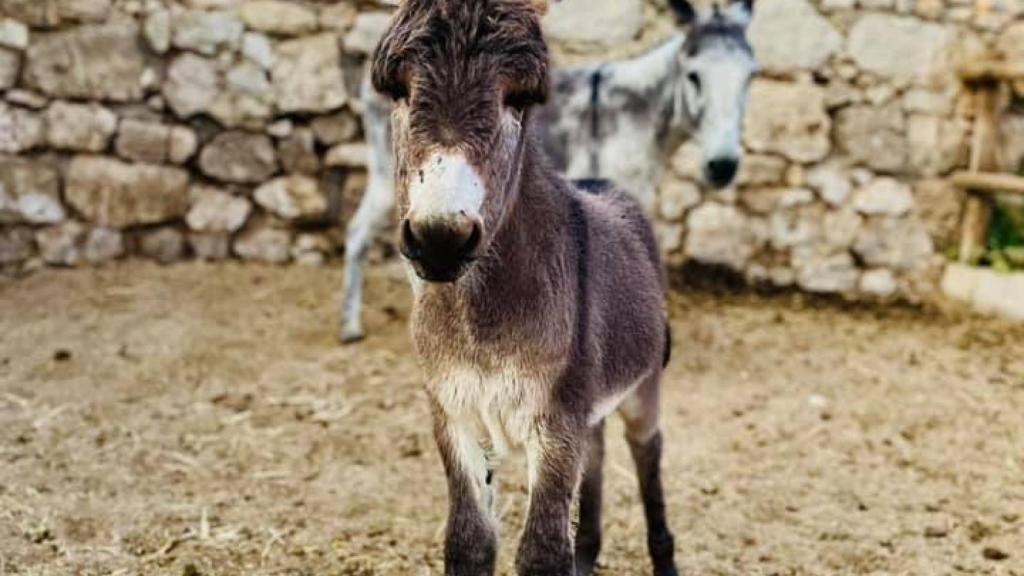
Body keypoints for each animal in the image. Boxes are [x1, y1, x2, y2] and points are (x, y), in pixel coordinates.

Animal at [372, 2, 675, 569]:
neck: (479, 323)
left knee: (647, 453)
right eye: (399, 91)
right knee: (597, 454)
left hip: (642, 390)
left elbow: (541, 551)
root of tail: (603, 183)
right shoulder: (454, 416)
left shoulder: (555, 424)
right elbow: (468, 539)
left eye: (519, 99)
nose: (440, 239)